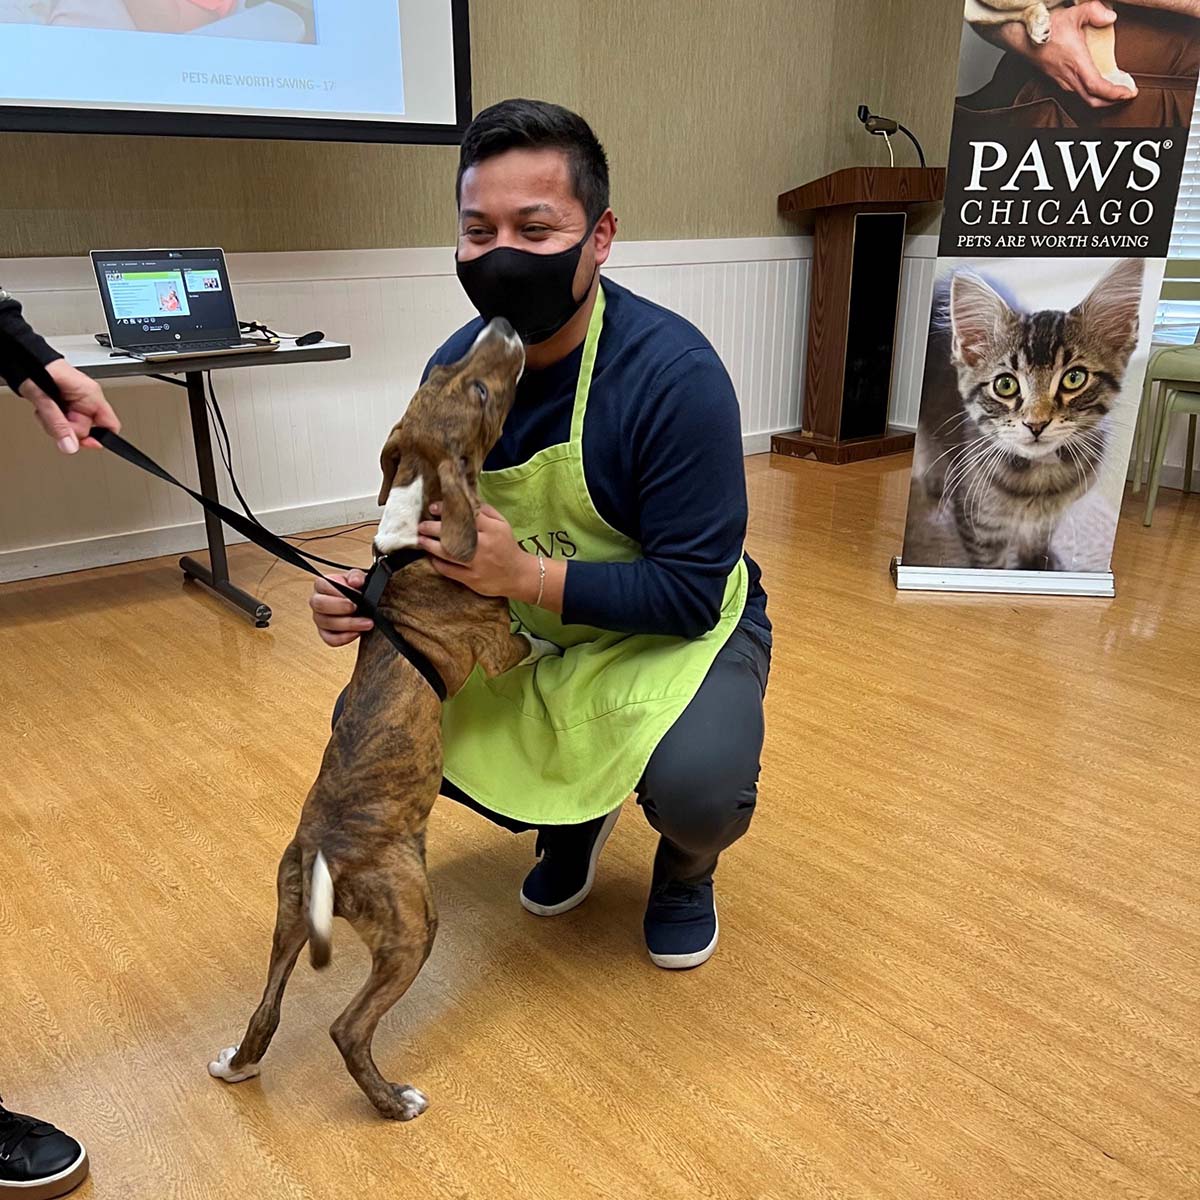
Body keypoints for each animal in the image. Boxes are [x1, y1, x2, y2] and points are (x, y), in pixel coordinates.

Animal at [208, 316, 547, 1113]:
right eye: (479, 390)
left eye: (447, 372)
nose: (502, 324)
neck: (416, 526)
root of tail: (325, 856)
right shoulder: (498, 645)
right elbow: (530, 641)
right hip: (410, 923)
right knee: (347, 1027)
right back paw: (394, 1102)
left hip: (287, 917)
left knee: (267, 1009)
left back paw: (238, 1065)